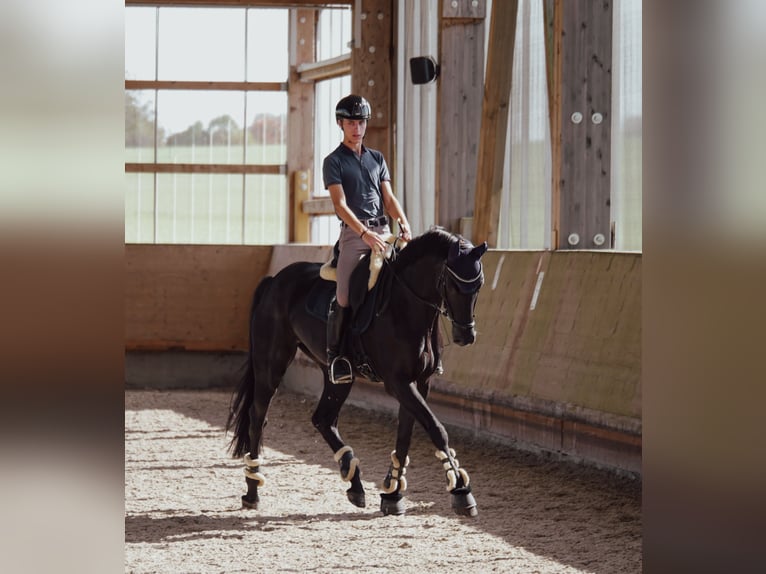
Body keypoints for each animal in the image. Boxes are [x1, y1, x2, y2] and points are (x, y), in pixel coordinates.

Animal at [226, 227, 488, 517]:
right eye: (453, 285)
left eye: (479, 285)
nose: (466, 336)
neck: (404, 306)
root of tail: (275, 280)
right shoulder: (398, 382)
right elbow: (436, 428)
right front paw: (461, 491)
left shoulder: (419, 382)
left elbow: (405, 435)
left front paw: (393, 495)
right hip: (271, 364)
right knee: (258, 418)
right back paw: (253, 491)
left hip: (337, 376)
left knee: (323, 419)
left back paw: (354, 481)